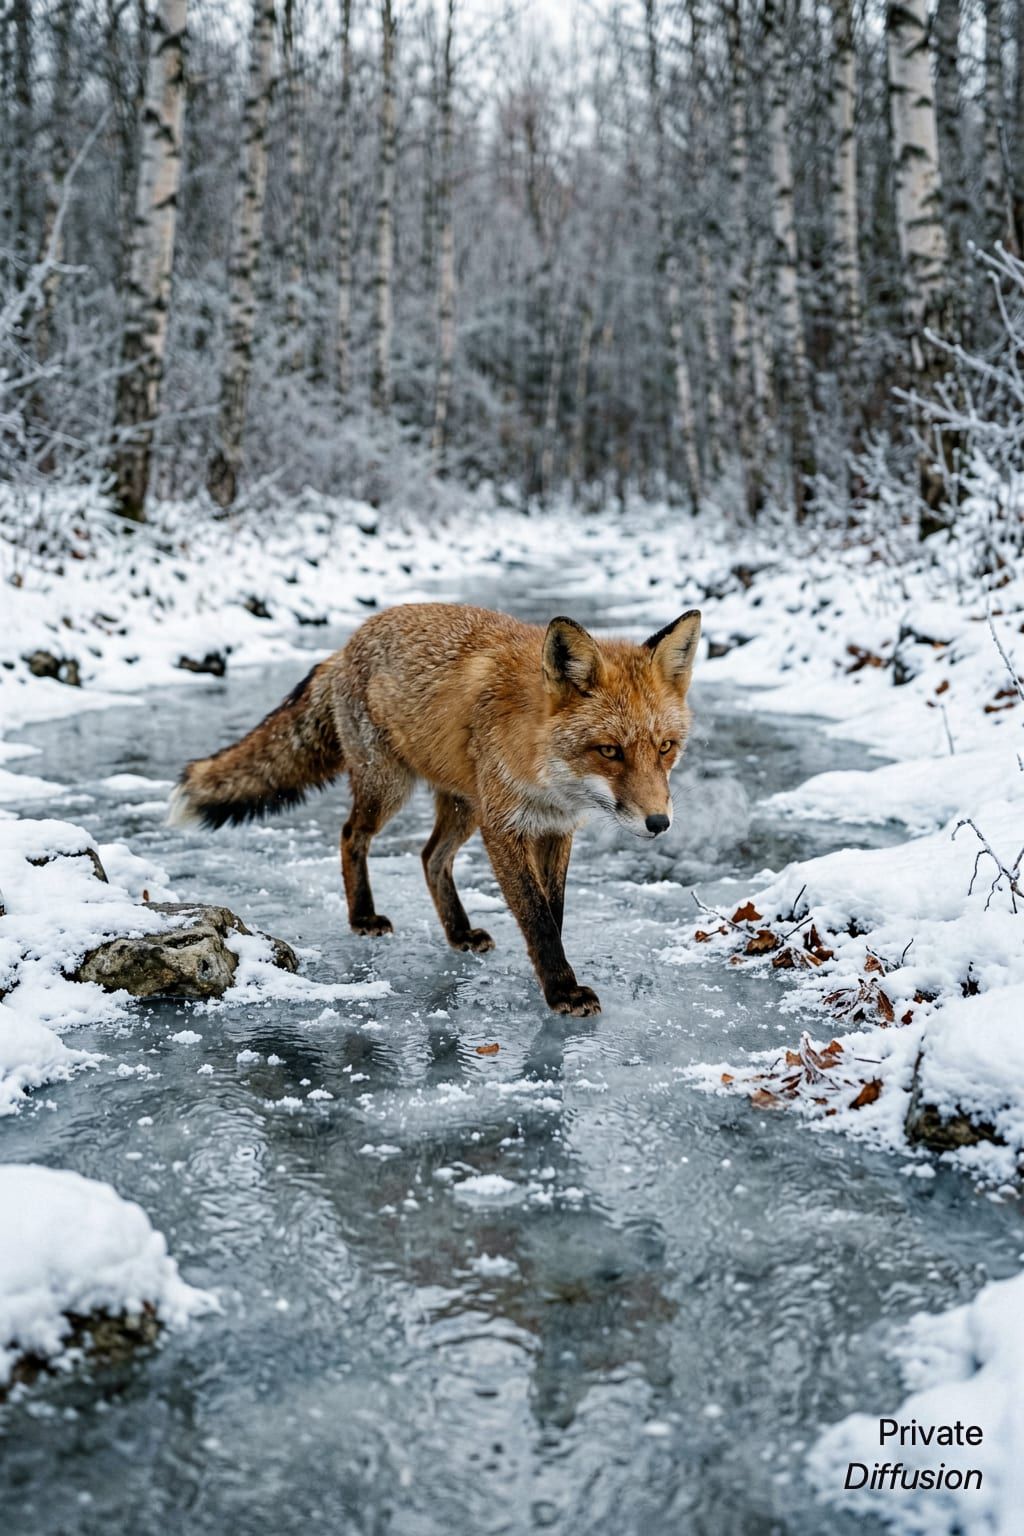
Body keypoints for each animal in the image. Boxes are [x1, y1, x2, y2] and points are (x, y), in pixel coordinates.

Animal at [168, 603, 701, 1016]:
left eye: (665, 748)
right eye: (609, 751)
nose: (659, 823)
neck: (545, 770)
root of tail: (345, 646)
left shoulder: (555, 829)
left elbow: (554, 913)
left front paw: (550, 980)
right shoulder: (504, 826)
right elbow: (536, 917)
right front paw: (562, 991)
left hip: (463, 806)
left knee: (430, 858)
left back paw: (458, 930)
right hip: (390, 789)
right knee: (351, 836)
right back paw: (363, 916)